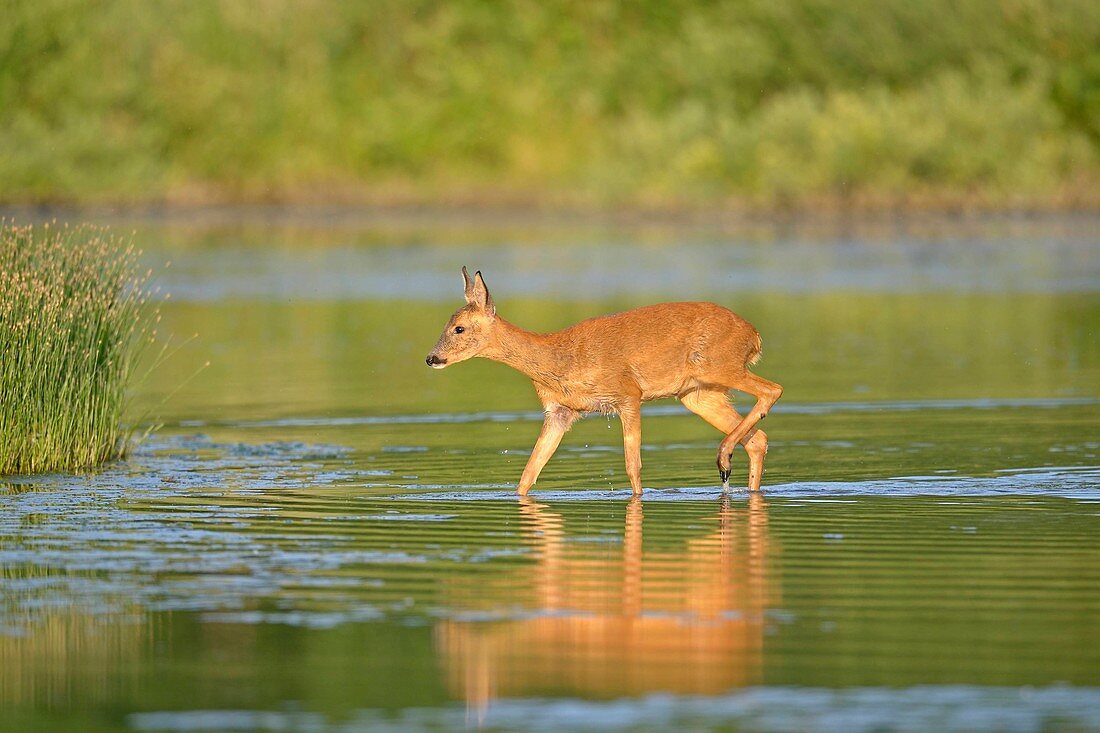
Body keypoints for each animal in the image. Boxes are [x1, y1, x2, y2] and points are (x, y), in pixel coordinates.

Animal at [422, 268, 783, 497]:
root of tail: (755, 335)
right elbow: (529, 472)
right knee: (758, 438)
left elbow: (633, 466)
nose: (432, 358)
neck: (558, 357)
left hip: (720, 366)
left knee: (772, 390)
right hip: (698, 394)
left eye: (459, 328)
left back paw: (723, 458)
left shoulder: (628, 394)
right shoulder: (560, 411)